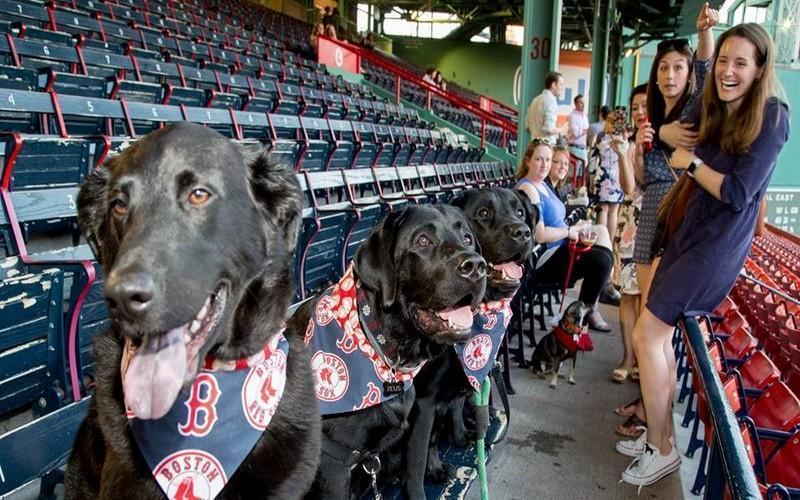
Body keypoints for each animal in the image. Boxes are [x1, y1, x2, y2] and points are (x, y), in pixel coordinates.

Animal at [290, 204, 488, 500]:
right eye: (422, 241)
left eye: (467, 238)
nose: (475, 266)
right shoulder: (334, 461)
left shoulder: (417, 423)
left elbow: (416, 470)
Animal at [400, 188, 536, 500]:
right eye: (483, 213)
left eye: (520, 212)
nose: (523, 232)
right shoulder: (425, 400)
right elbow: (423, 448)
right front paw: (432, 470)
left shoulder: (468, 377)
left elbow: (455, 408)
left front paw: (463, 435)